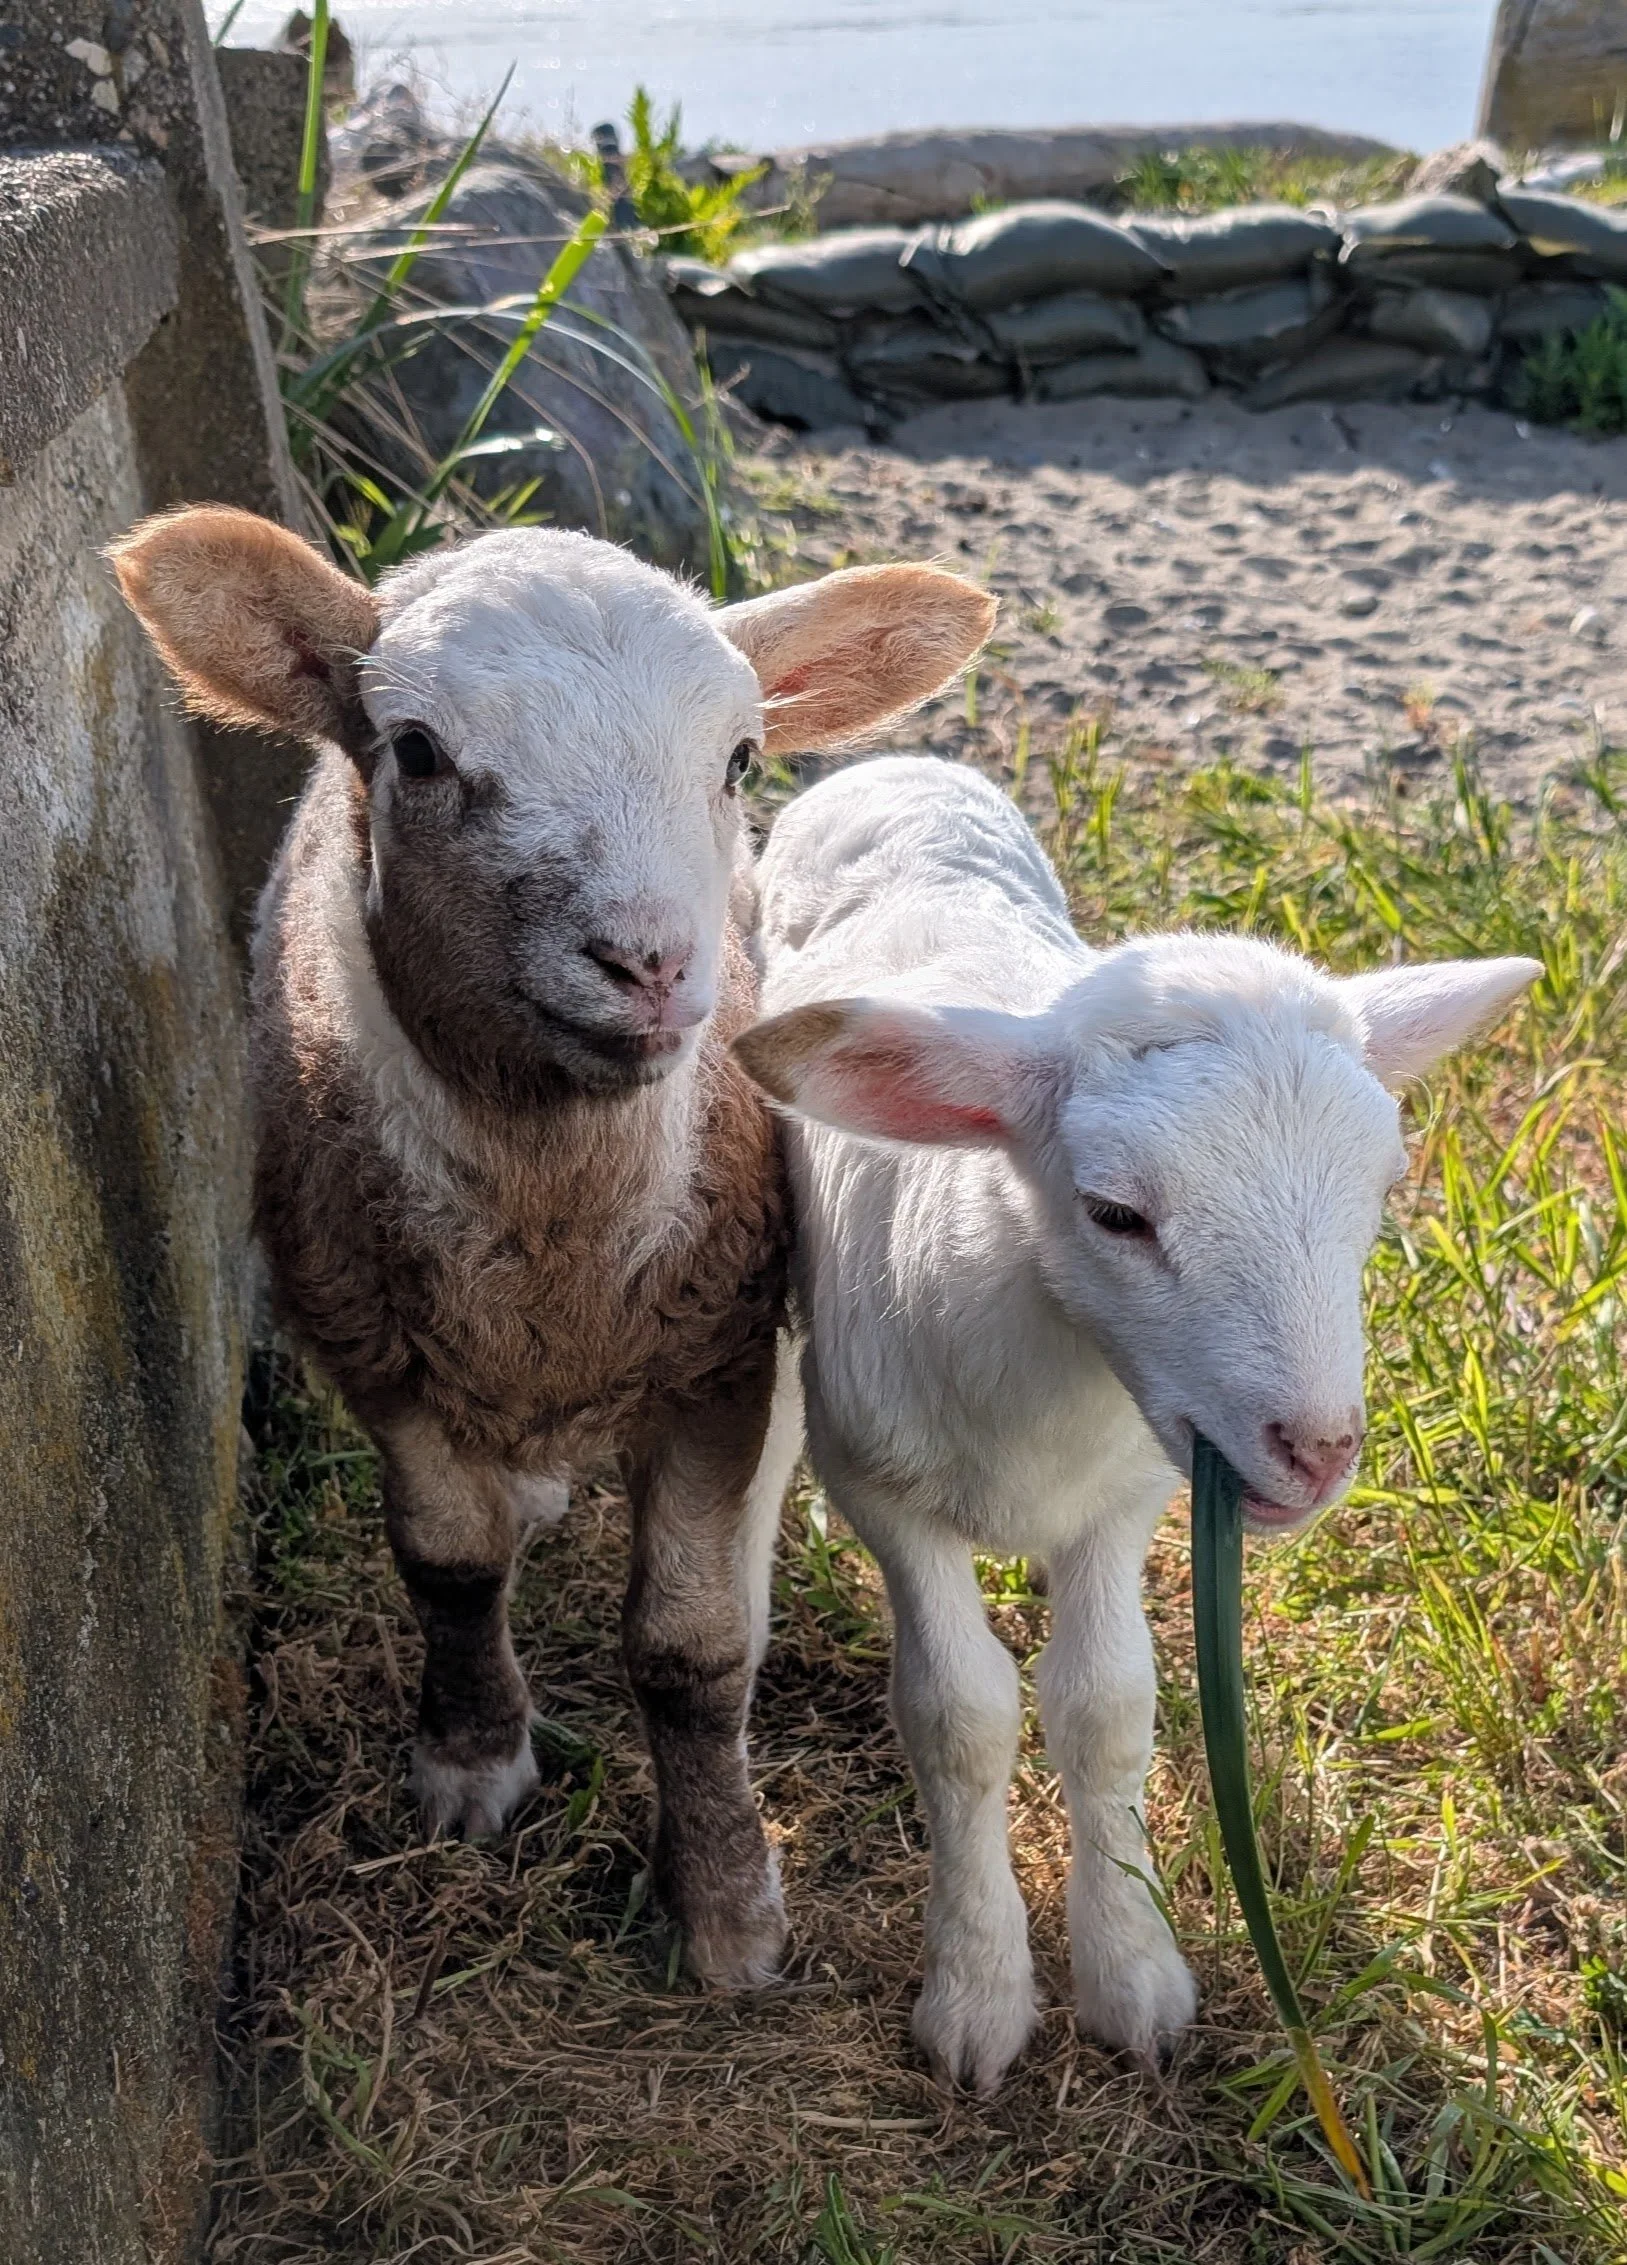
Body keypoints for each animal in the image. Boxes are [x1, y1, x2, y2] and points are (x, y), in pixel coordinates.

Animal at [112, 513, 994, 1987]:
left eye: (739, 758)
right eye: (414, 750)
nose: (649, 965)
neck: (551, 1233)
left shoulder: (716, 1361)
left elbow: (690, 1653)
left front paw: (723, 1906)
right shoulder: (381, 1357)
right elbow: (447, 1566)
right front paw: (470, 1758)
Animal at [735, 755, 1540, 2080]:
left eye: (1382, 1190)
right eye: (1115, 1213)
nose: (1319, 1452)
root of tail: (898, 762)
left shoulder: (1127, 1497)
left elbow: (1105, 1705)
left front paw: (1131, 1973)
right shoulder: (884, 1489)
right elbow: (958, 1717)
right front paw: (976, 1994)